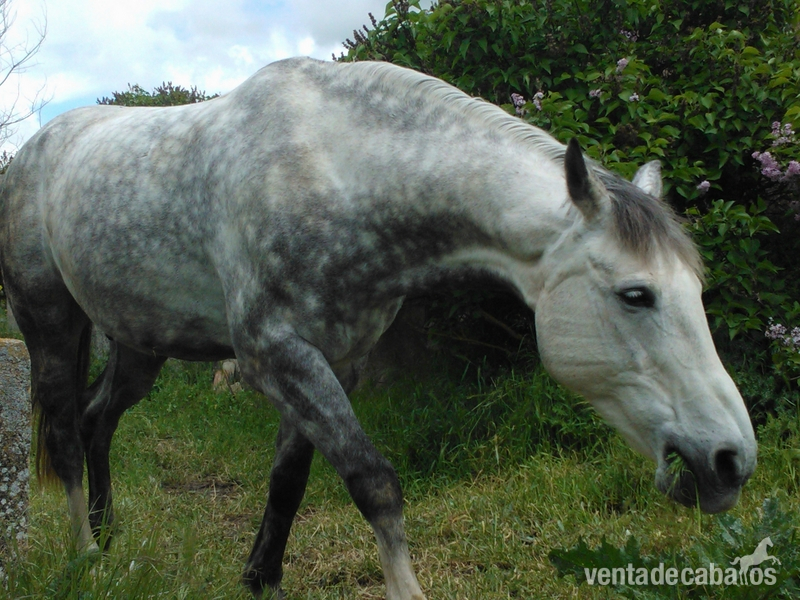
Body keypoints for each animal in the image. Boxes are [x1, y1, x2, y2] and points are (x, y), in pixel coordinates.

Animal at [0, 57, 757, 599]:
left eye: (695, 290)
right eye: (636, 295)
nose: (730, 462)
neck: (337, 169)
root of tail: (33, 151)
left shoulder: (333, 358)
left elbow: (289, 481)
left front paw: (261, 579)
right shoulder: (276, 355)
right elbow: (373, 481)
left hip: (141, 342)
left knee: (98, 422)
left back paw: (111, 544)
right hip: (49, 323)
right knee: (65, 433)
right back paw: (86, 555)